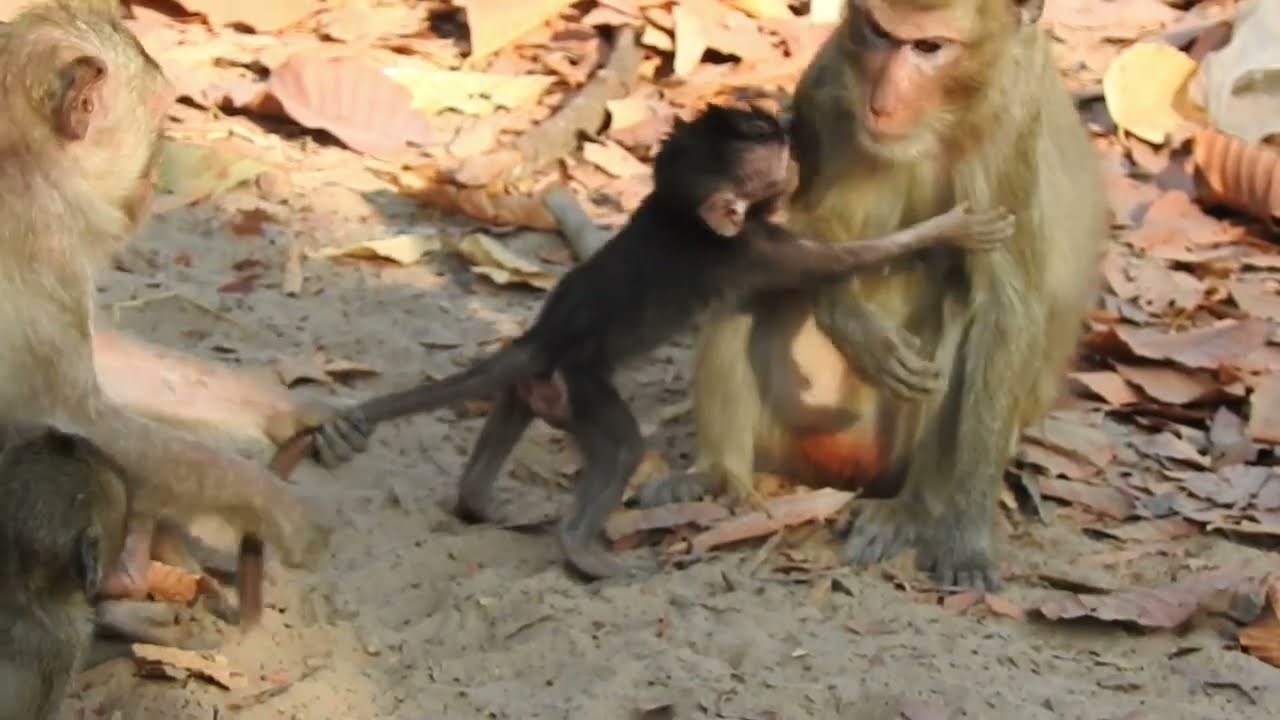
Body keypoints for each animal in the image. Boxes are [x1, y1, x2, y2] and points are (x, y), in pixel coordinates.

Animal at [0, 0, 333, 631]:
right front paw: (279, 507)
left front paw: (283, 407)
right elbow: (73, 423)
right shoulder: (43, 231)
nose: (155, 183)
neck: (19, 149)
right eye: (157, 126)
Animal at [269, 104, 1016, 579]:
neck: (682, 215)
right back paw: (582, 547)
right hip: (581, 388)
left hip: (537, 387)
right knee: (623, 445)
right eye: (768, 145)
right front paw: (953, 229)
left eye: (767, 124)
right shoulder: (751, 250)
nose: (789, 125)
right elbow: (840, 262)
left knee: (506, 419)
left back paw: (479, 498)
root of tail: (543, 339)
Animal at [633, 0, 1110, 591]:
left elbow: (1007, 307)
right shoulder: (830, 77)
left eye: (929, 47)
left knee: (960, 307)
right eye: (880, 32)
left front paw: (968, 532)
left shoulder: (1011, 129)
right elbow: (806, 224)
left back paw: (910, 509)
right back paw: (716, 472)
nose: (881, 102)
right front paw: (852, 323)